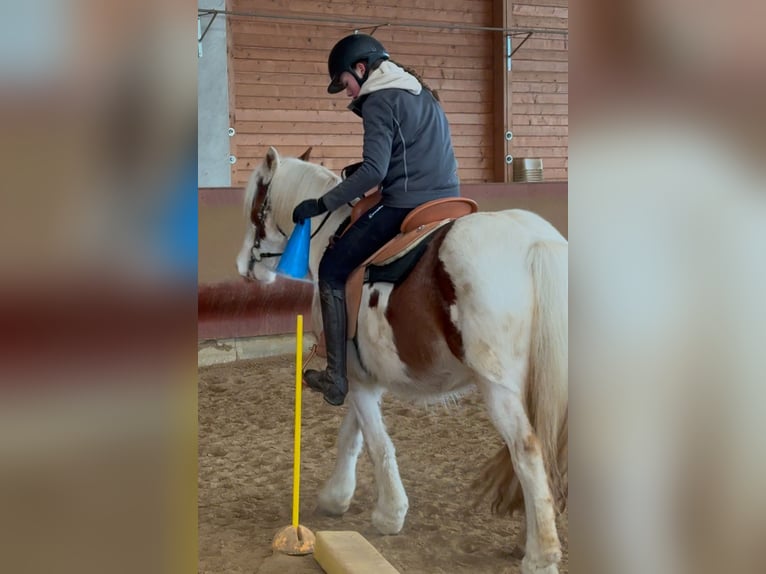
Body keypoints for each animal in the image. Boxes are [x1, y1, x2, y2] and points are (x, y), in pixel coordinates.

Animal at [236, 146, 568, 572]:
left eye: (256, 205)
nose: (244, 267)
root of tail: (535, 243)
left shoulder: (354, 379)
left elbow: (377, 441)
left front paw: (389, 514)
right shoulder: (364, 377)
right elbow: (352, 436)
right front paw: (336, 497)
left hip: (498, 387)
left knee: (526, 451)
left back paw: (540, 554)